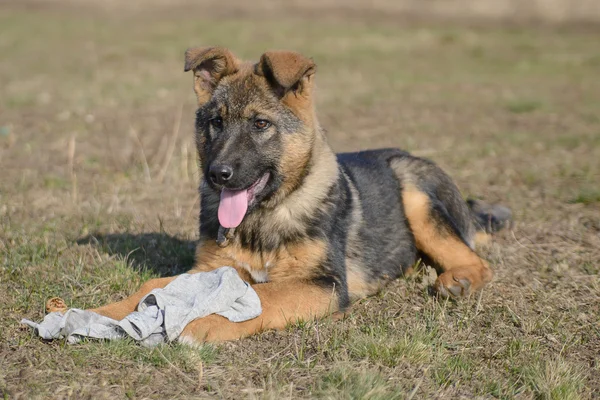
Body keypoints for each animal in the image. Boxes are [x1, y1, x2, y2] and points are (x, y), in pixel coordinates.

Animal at [88, 47, 510, 344]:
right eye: (216, 122)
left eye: (260, 124)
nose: (217, 175)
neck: (265, 216)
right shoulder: (210, 268)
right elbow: (151, 287)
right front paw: (103, 312)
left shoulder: (325, 285)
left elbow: (264, 297)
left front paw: (204, 324)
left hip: (415, 195)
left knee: (477, 259)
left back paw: (458, 281)